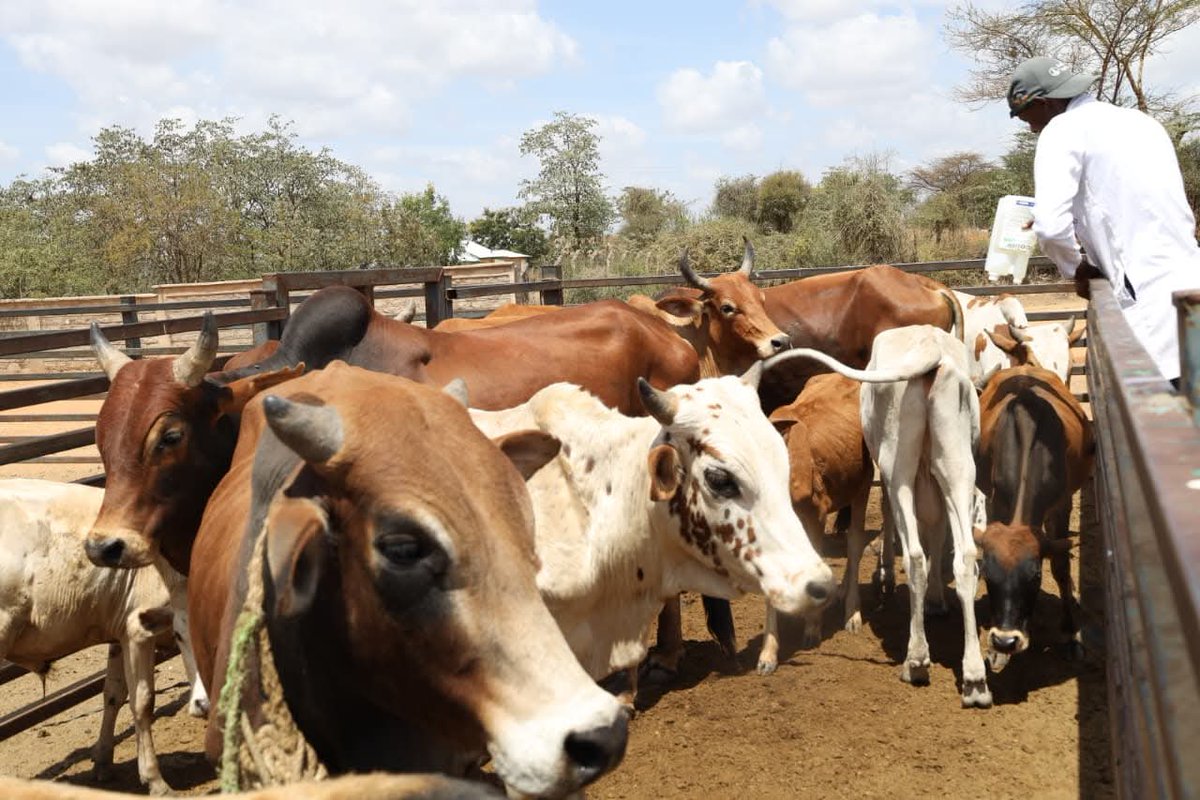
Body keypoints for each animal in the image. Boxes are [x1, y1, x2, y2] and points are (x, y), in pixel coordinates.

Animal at [0, 479, 207, 795]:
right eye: (181, 636)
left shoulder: (119, 632)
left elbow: (113, 694)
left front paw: (103, 762)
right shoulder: (137, 630)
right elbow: (142, 702)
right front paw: (155, 780)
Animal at [757, 373, 874, 675]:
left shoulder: (816, 515)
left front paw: (812, 626)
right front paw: (767, 655)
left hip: (863, 484)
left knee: (855, 541)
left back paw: (852, 613)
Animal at [974, 366, 1094, 670]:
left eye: (1035, 576)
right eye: (988, 575)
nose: (1005, 641)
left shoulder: (1061, 506)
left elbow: (1061, 566)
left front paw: (1072, 634)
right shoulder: (996, 502)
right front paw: (997, 653)